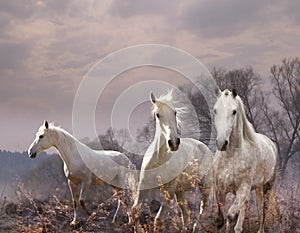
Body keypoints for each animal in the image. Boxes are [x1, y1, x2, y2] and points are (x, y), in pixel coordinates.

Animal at [132, 91, 214, 233]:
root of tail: (204, 147)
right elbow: (135, 210)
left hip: (205, 185)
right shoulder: (144, 186)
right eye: (158, 115)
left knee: (203, 208)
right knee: (186, 215)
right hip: (180, 192)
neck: (159, 160)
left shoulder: (169, 190)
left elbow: (158, 219)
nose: (174, 143)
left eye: (175, 112)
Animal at [213, 88, 276, 232]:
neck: (231, 157)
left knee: (263, 212)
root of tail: (271, 144)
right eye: (215, 110)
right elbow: (220, 220)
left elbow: (230, 216)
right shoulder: (220, 189)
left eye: (234, 111)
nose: (221, 143)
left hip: (266, 187)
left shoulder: (243, 189)